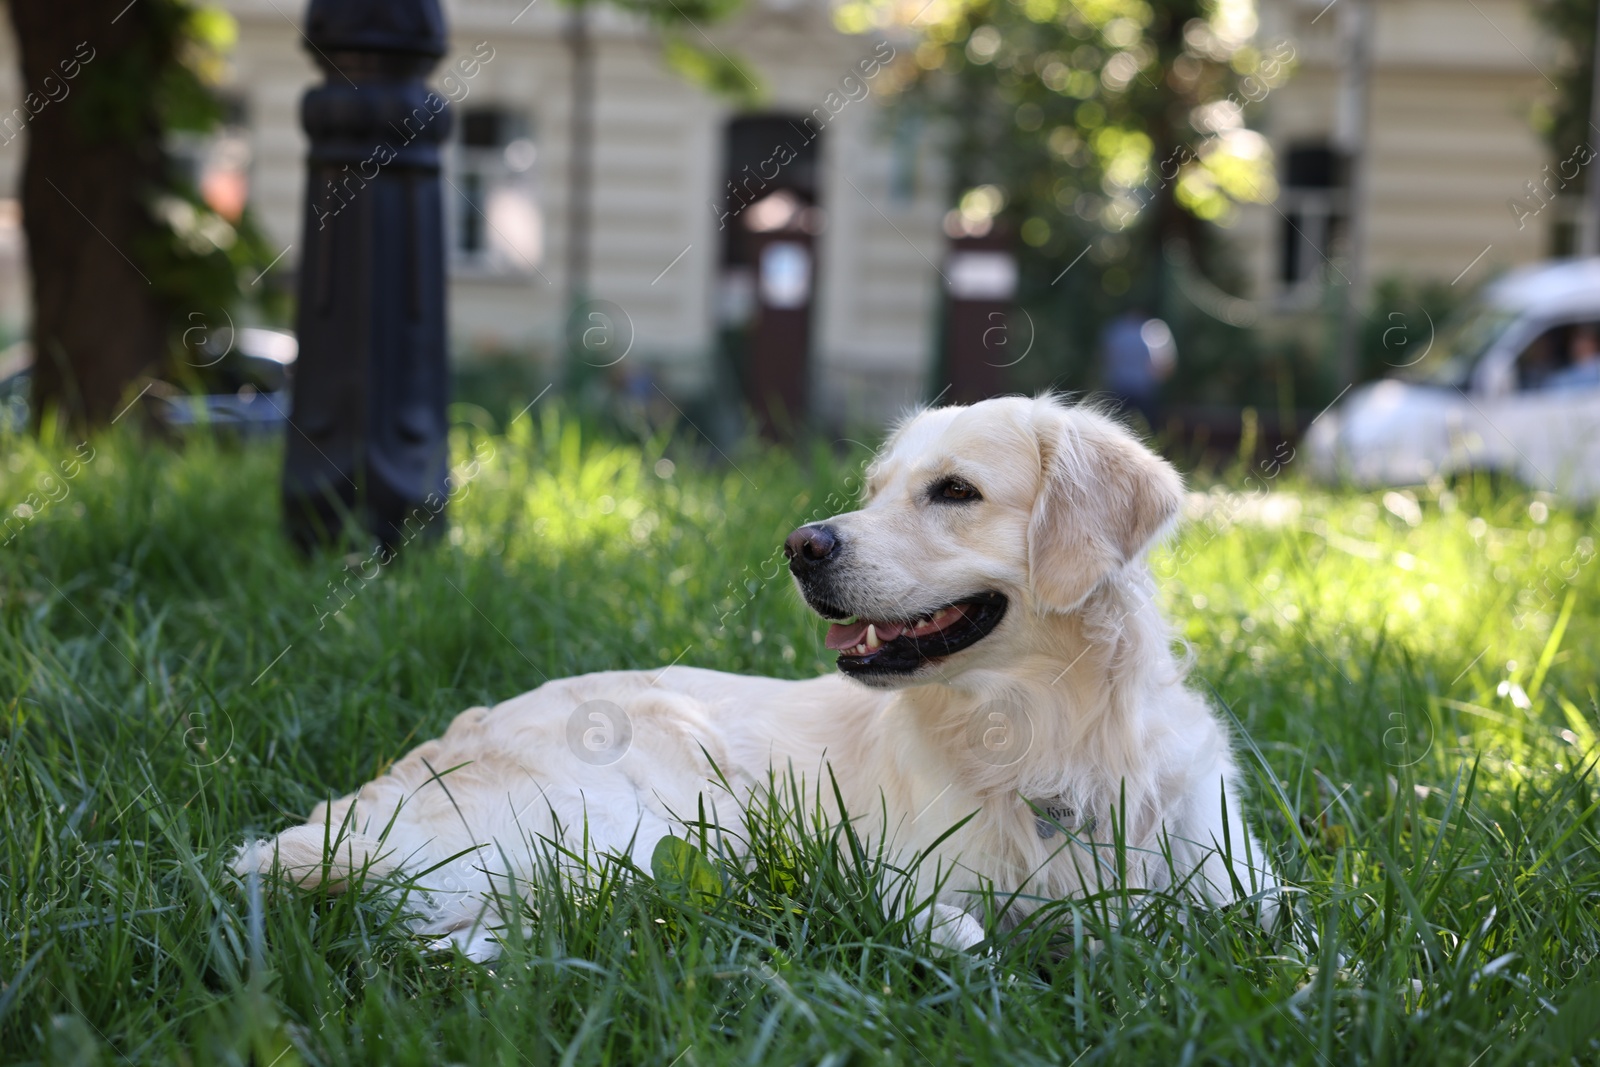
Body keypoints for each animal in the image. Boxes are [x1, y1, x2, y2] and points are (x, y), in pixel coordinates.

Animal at [233, 395, 1273, 959]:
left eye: (955, 491)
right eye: (874, 488)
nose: (802, 545)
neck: (1047, 726)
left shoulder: (1241, 884)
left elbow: (1282, 946)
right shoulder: (899, 871)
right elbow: (956, 928)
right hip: (656, 798)